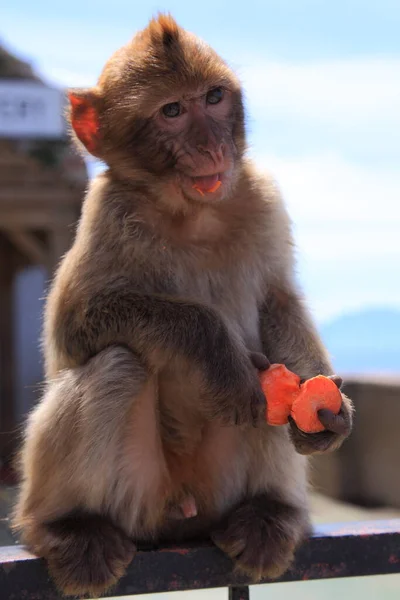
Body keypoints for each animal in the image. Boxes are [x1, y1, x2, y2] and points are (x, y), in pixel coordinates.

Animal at [10, 12, 352, 596]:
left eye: (213, 98)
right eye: (172, 111)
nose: (212, 145)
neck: (193, 211)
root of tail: (179, 513)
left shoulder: (260, 194)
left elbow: (279, 300)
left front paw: (324, 403)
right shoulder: (106, 210)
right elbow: (75, 328)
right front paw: (215, 350)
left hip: (220, 487)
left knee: (269, 391)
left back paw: (271, 513)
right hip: (137, 497)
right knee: (118, 365)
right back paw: (68, 528)